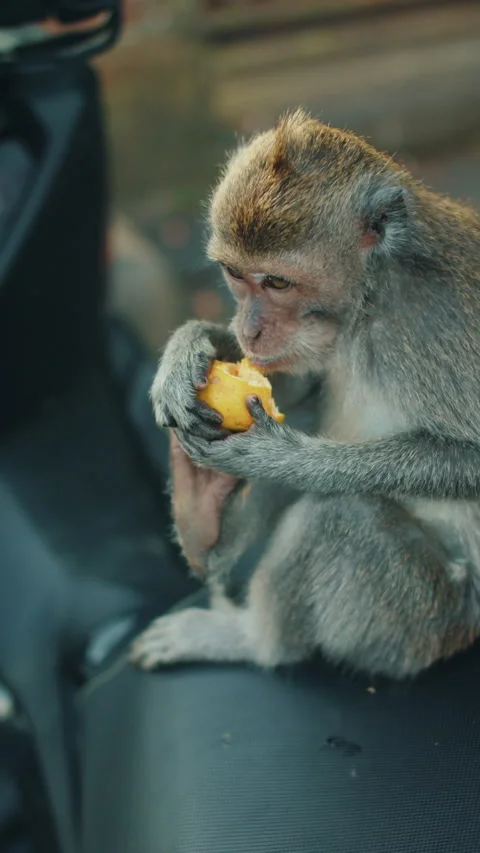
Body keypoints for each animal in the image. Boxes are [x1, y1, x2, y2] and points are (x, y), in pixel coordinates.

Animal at [130, 107, 480, 679]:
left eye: (277, 282)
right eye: (234, 275)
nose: (249, 329)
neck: (373, 294)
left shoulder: (439, 320)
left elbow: (470, 460)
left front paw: (283, 459)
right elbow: (290, 380)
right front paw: (187, 351)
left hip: (418, 620)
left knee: (336, 517)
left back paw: (249, 639)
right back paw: (202, 519)